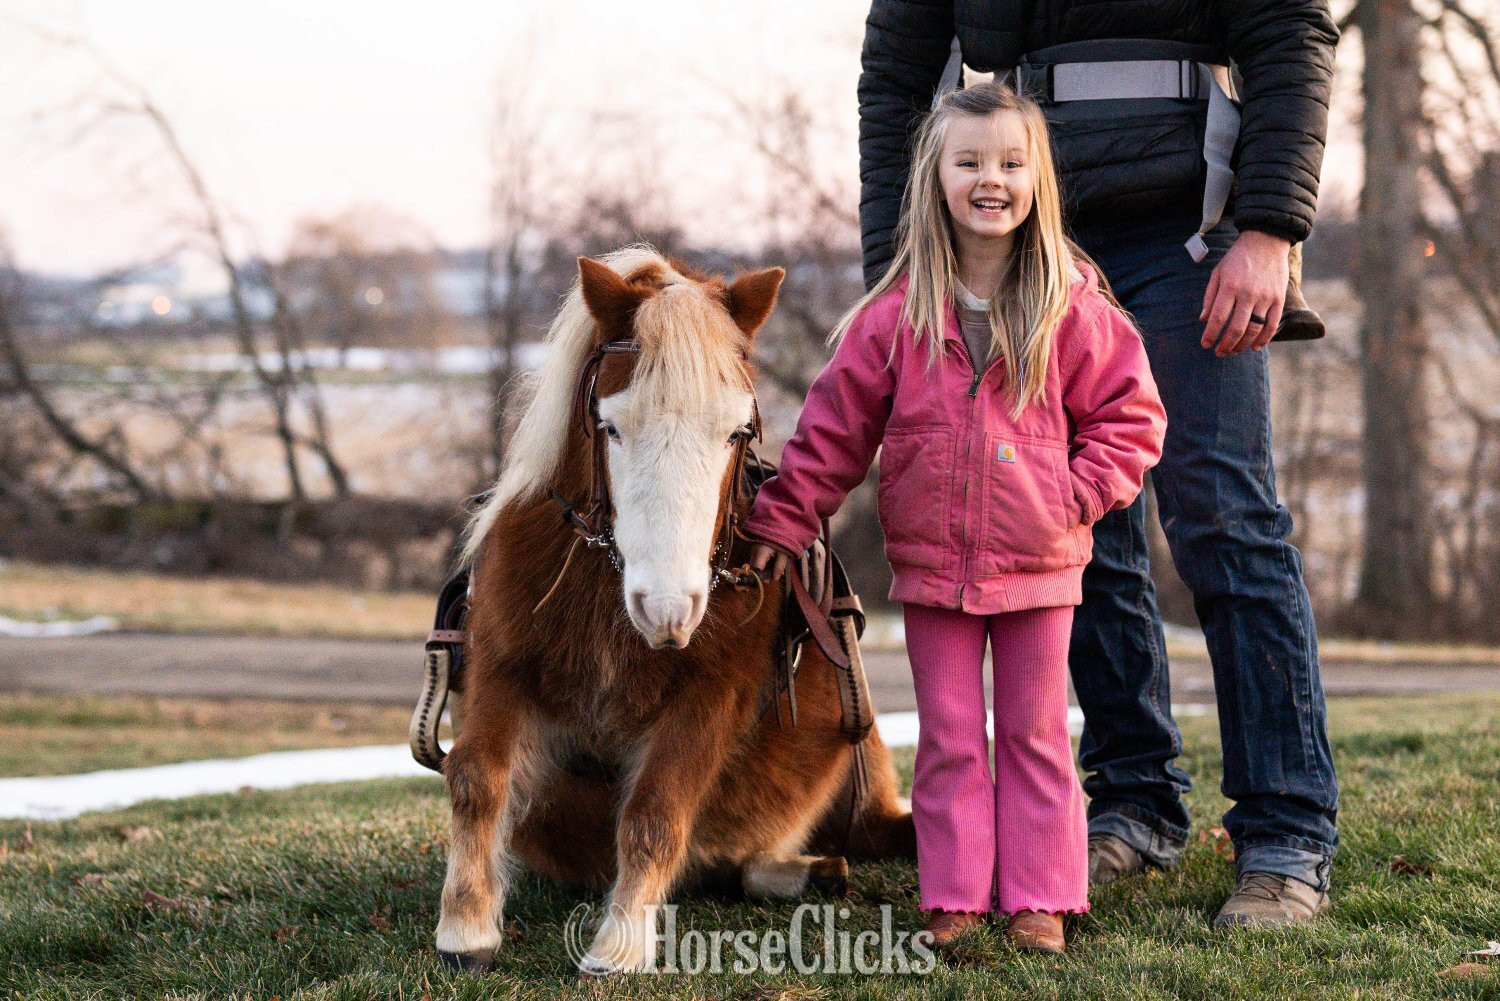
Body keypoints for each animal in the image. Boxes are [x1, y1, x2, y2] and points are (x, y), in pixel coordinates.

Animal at [435, 246, 916, 974]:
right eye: (611, 426)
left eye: (737, 431)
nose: (666, 609)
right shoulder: (501, 664)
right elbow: (476, 777)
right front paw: (465, 927)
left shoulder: (705, 703)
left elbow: (655, 816)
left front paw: (619, 944)